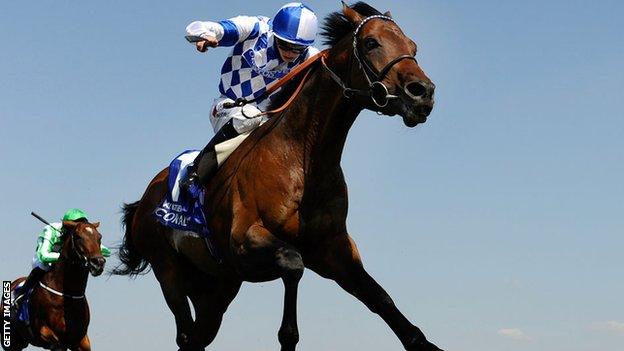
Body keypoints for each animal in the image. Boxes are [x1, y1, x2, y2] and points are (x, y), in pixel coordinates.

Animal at [2, 221, 106, 350]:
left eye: (99, 237)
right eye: (78, 237)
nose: (98, 262)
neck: (67, 295)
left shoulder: (81, 339)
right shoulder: (46, 332)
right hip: (11, 341)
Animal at [114, 2, 442, 351]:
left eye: (413, 48)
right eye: (370, 43)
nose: (422, 92)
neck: (303, 158)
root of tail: (144, 199)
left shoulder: (334, 248)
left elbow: (381, 298)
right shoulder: (244, 241)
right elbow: (293, 264)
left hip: (217, 286)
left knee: (197, 337)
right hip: (169, 271)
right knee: (186, 333)